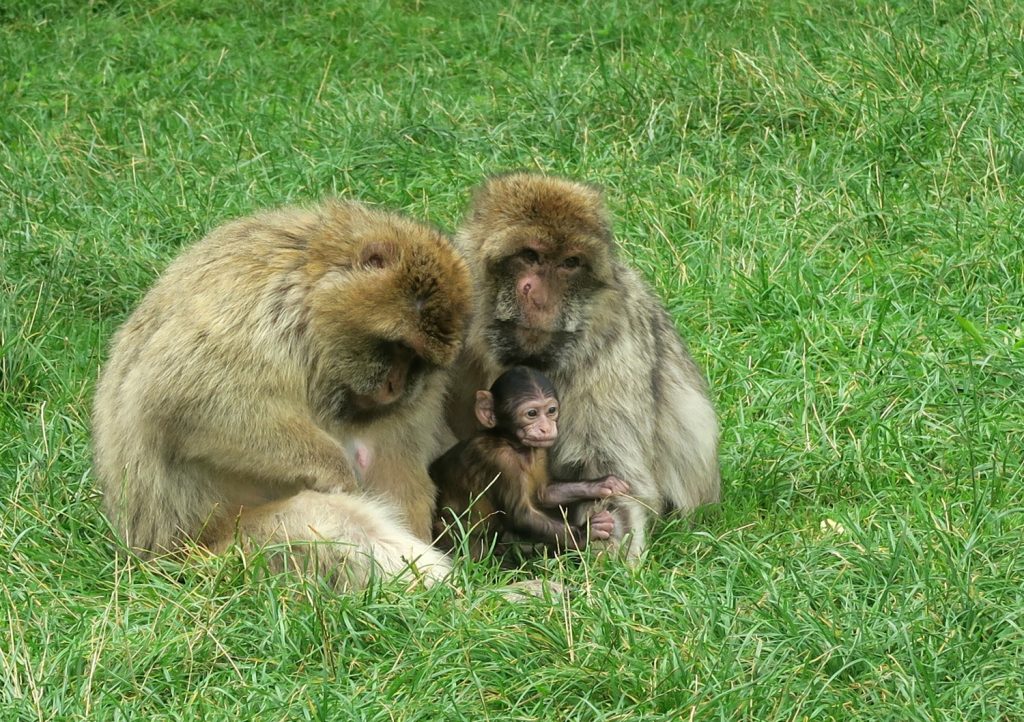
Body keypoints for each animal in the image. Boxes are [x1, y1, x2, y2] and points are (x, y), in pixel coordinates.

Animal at [92, 199, 471, 590]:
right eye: (400, 348)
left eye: (418, 363)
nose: (395, 387)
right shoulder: (255, 309)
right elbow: (180, 399)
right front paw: (335, 470)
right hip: (218, 553)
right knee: (324, 525)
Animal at [429, 366, 629, 559]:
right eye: (532, 413)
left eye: (551, 411)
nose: (546, 427)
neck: (512, 443)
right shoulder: (501, 461)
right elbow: (522, 516)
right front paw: (588, 531)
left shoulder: (540, 453)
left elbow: (544, 493)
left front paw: (602, 484)